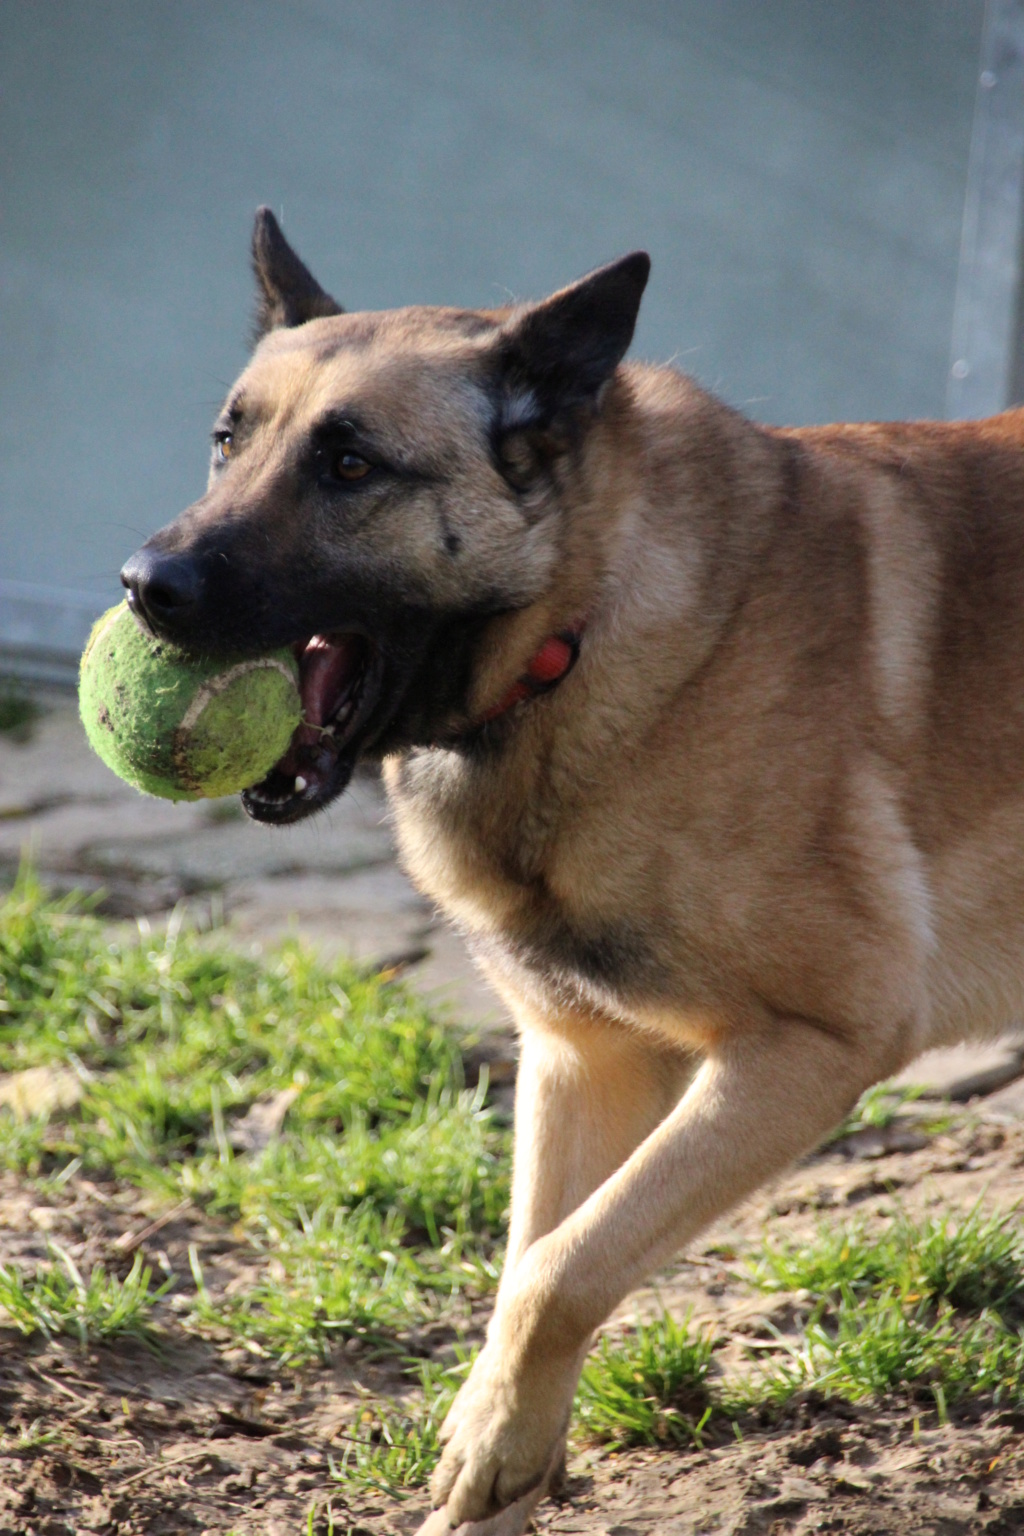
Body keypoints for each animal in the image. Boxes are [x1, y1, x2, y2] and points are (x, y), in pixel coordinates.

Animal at [120, 210, 1024, 1529]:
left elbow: (557, 1268)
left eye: (351, 467)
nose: (144, 586)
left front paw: (490, 1438)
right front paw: (503, 1450)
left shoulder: (806, 1048)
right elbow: (533, 1264)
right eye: (227, 442)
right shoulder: (580, 1059)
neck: (577, 627)